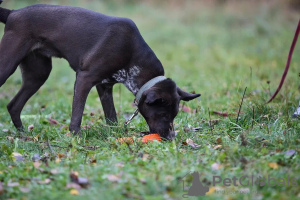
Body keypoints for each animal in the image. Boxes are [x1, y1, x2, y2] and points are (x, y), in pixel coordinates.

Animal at [0, 3, 202, 141]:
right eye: (164, 114)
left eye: (174, 115)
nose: (171, 138)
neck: (131, 52)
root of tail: (12, 13)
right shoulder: (84, 78)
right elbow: (77, 115)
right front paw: (75, 138)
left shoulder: (105, 86)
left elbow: (111, 117)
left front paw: (114, 135)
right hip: (8, 65)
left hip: (38, 74)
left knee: (13, 106)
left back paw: (23, 135)